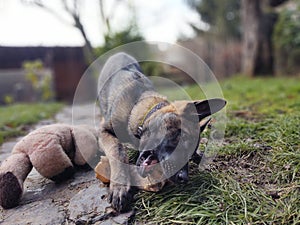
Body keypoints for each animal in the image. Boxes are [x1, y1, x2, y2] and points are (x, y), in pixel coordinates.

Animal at [97, 52, 226, 211]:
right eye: (182, 138)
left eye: (190, 155)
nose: (184, 178)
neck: (139, 107)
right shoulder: (103, 131)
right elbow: (118, 150)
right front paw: (120, 186)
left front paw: (199, 155)